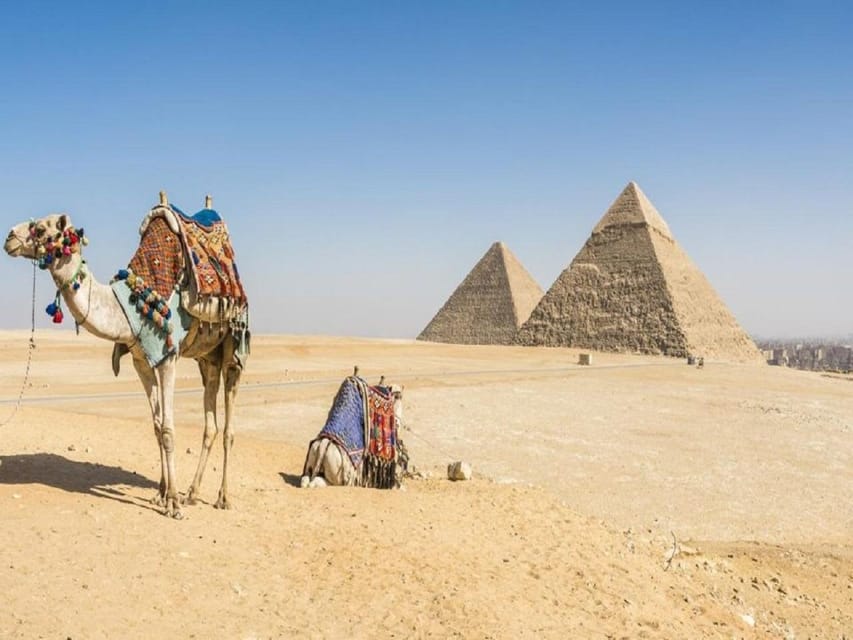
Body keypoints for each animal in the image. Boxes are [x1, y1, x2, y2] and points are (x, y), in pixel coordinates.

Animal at [4, 192, 250, 516]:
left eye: (42, 228)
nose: (8, 237)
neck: (129, 305)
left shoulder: (167, 357)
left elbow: (168, 429)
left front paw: (172, 503)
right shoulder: (141, 361)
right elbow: (157, 427)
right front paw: (162, 493)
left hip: (233, 348)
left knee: (229, 427)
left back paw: (222, 497)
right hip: (206, 357)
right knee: (210, 422)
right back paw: (193, 493)